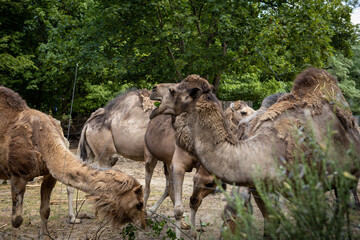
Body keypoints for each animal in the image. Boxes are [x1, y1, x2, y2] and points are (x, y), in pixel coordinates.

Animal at [0, 86, 147, 238]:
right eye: (139, 204)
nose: (144, 224)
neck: (42, 140)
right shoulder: (17, 175)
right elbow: (16, 219)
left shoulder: (49, 175)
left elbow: (45, 211)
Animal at [149, 68, 360, 235]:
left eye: (172, 90)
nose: (152, 91)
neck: (268, 150)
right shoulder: (260, 189)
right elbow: (271, 224)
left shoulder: (305, 189)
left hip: (345, 177)